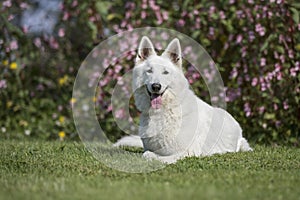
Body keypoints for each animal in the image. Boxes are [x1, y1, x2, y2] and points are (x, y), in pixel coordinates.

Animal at [115, 36, 253, 164]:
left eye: (165, 72)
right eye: (149, 71)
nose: (156, 86)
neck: (164, 111)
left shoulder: (187, 153)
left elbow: (149, 155)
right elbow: (146, 152)